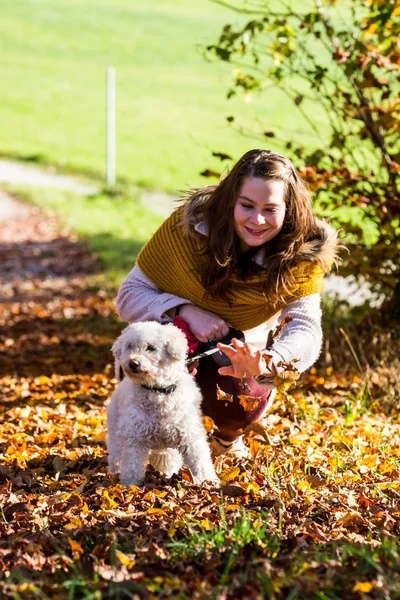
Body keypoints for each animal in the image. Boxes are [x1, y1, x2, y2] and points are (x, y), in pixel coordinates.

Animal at [107, 322, 219, 486]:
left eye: (151, 348)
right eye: (129, 346)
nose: (133, 363)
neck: (158, 391)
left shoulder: (190, 436)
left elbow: (200, 461)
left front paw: (209, 482)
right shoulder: (134, 438)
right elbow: (132, 467)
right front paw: (129, 486)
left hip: (166, 450)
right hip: (116, 434)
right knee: (116, 456)